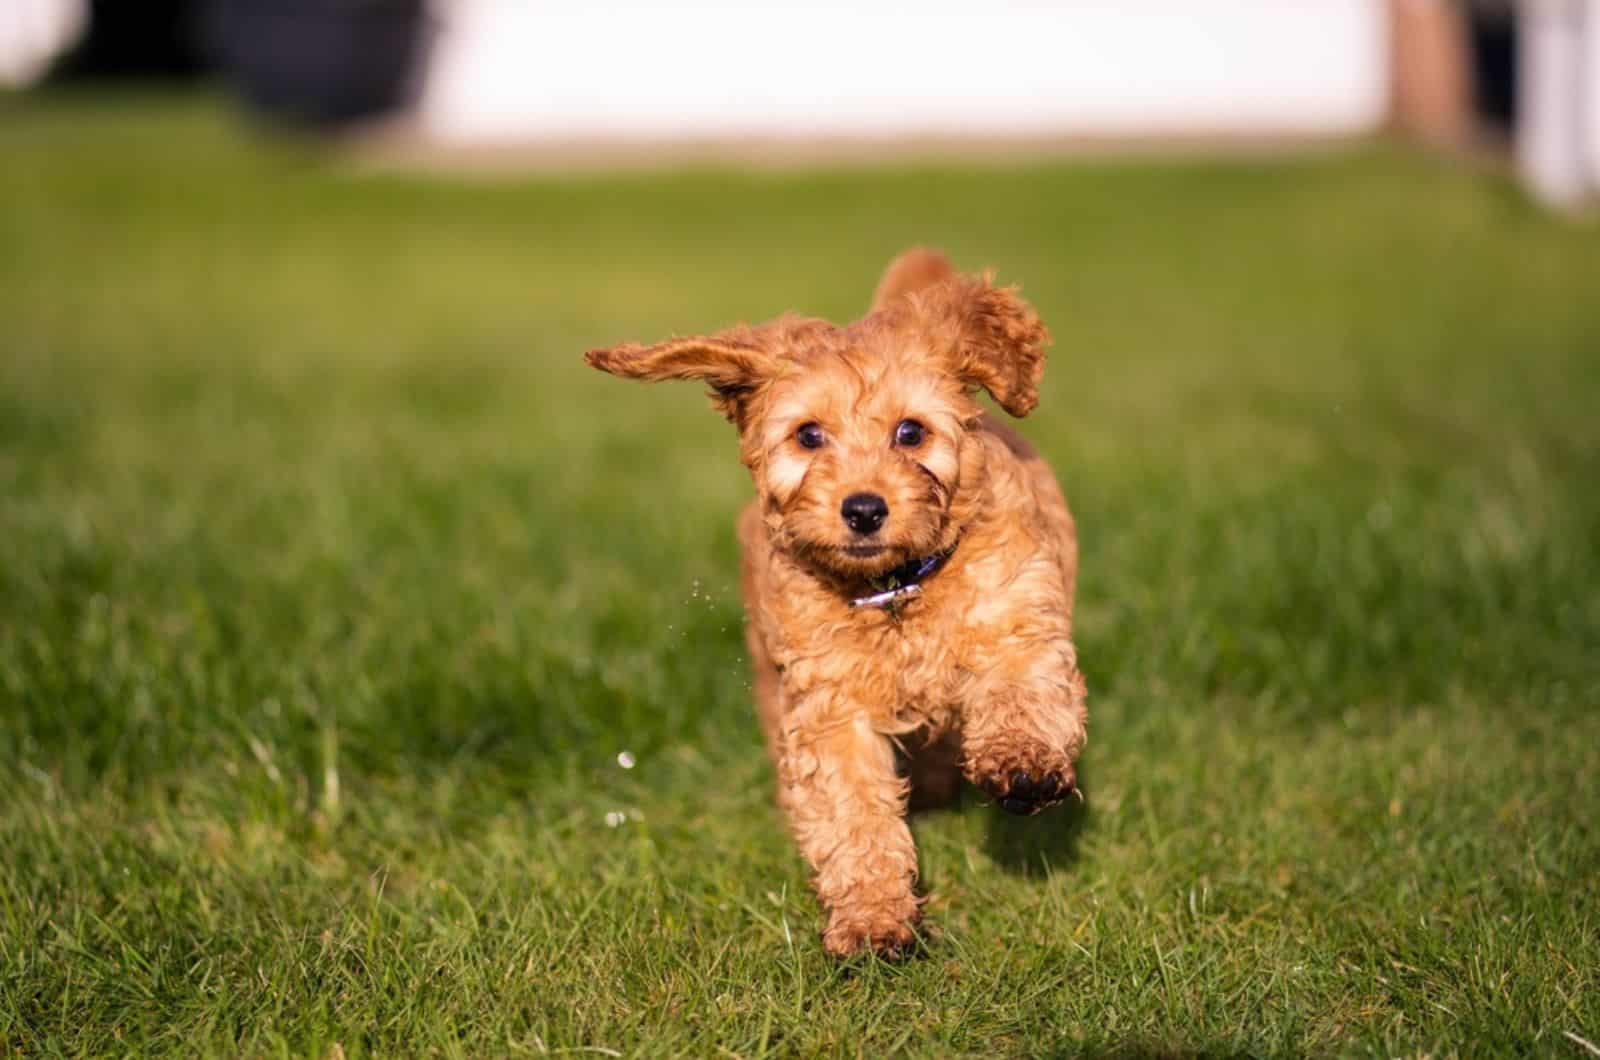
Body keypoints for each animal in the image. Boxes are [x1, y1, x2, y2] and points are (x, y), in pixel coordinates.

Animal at [588, 251, 1088, 960]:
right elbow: (850, 810)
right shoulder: (828, 706)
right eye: (808, 435)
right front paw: (872, 918)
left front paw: (1023, 765)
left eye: (910, 432)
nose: (863, 509)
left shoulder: (1017, 615)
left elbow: (1023, 691)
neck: (896, 590)